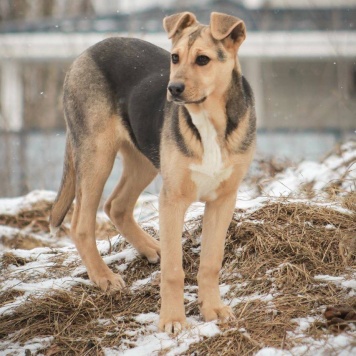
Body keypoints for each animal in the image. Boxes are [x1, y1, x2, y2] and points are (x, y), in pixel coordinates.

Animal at [50, 11, 256, 334]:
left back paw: (150, 247)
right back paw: (103, 277)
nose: (173, 90)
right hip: (97, 153)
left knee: (116, 206)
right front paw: (172, 320)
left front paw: (213, 310)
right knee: (81, 224)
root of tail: (88, 51)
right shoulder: (172, 200)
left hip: (143, 158)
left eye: (203, 60)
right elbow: (173, 270)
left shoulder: (224, 199)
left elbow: (211, 262)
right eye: (174, 57)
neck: (208, 120)